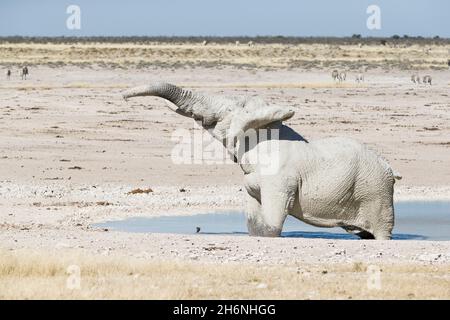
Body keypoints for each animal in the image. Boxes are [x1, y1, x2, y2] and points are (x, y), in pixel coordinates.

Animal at [123, 82, 400, 240]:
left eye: (227, 112)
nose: (123, 97)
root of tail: (390, 169)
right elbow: (254, 222)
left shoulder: (280, 179)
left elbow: (271, 224)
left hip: (376, 191)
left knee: (381, 231)